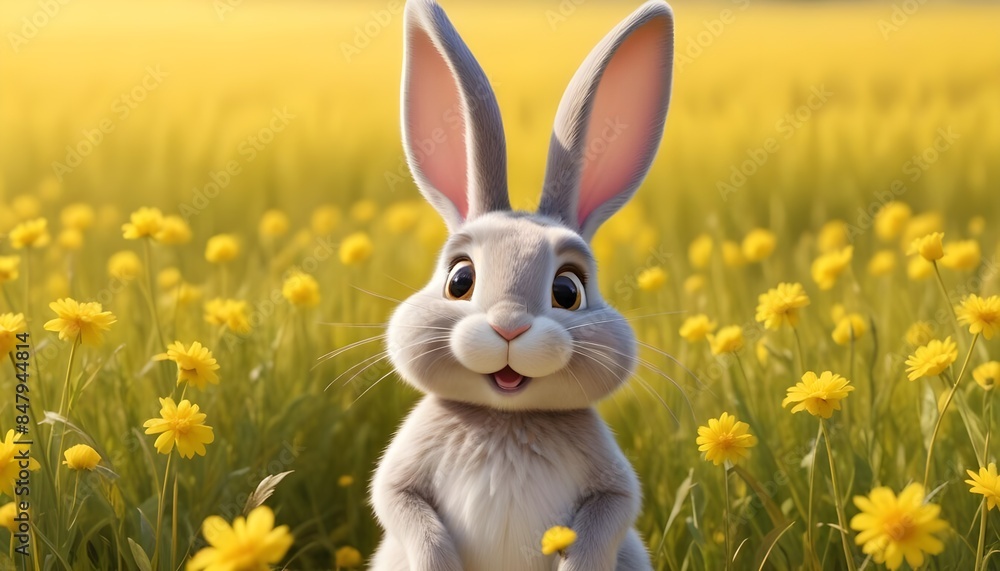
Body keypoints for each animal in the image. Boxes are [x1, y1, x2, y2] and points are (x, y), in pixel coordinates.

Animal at [369, 1, 674, 570]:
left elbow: (613, 510)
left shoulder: (612, 486)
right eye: (459, 279)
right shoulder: (404, 474)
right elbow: (398, 502)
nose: (509, 327)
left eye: (568, 292)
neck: (506, 420)